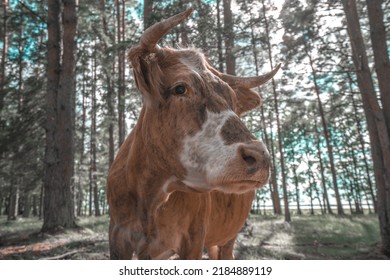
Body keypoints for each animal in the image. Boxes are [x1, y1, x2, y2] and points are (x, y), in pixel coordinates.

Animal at [106, 7, 280, 260]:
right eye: (180, 88)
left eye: (233, 100)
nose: (260, 157)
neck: (150, 196)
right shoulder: (118, 236)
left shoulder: (194, 239)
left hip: (227, 238)